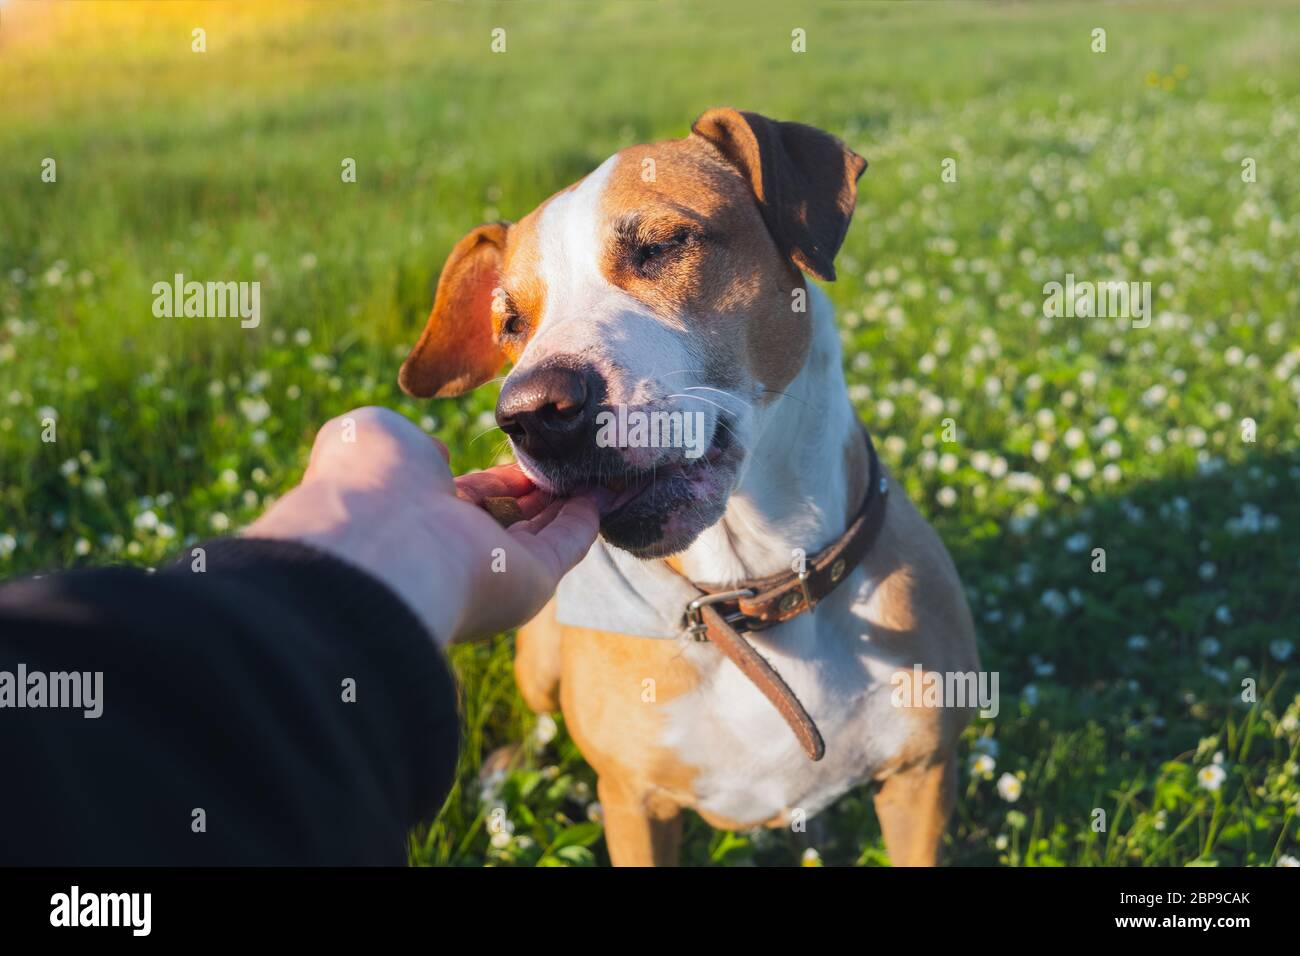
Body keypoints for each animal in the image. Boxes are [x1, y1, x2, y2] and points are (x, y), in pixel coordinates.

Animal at [400, 110, 977, 868]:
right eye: (510, 323)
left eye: (662, 246)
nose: (532, 411)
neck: (749, 589)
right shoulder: (634, 804)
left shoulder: (921, 780)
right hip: (539, 657)